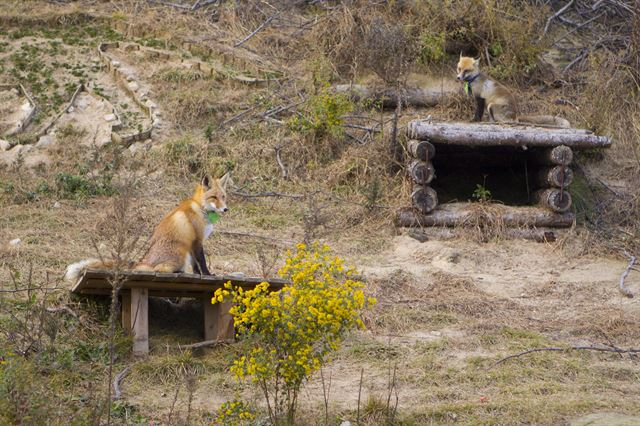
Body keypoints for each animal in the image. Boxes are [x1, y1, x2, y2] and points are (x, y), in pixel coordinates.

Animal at [64, 174, 230, 282]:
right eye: (214, 197)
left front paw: (197, 275)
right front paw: (208, 275)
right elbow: (202, 261)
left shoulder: (192, 243)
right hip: (180, 253)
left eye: (223, 197)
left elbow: (196, 265)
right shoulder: (197, 240)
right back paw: (176, 270)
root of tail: (144, 261)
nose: (226, 209)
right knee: (159, 269)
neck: (201, 208)